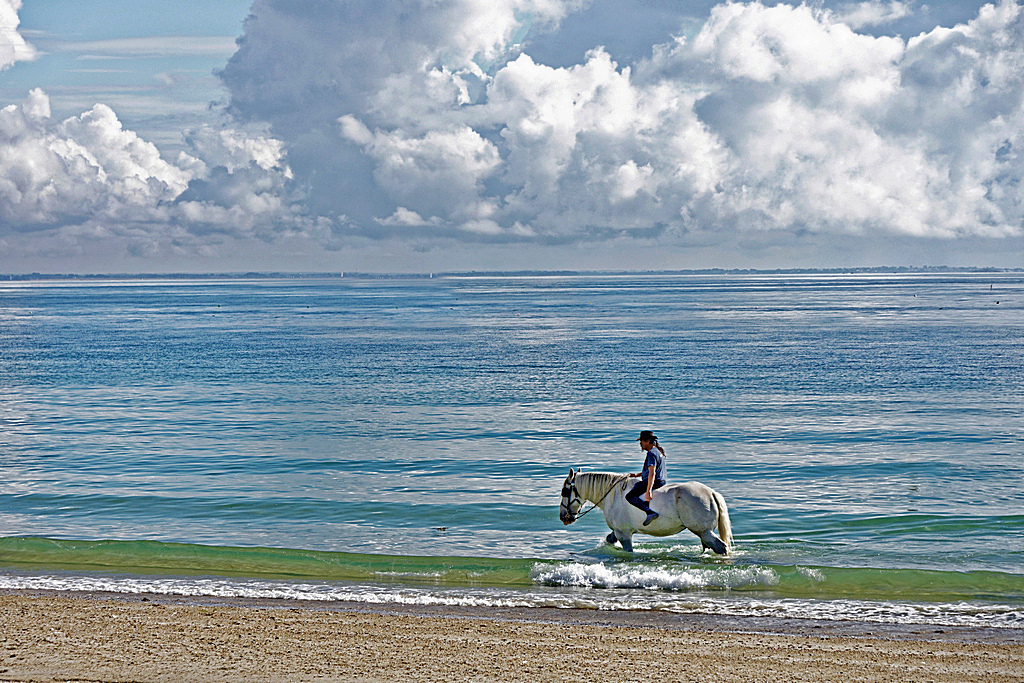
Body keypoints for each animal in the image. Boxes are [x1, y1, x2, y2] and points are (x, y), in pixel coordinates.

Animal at [561, 471, 737, 557]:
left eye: (565, 491)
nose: (564, 516)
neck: (613, 494)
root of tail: (711, 493)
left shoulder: (623, 533)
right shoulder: (617, 531)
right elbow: (609, 539)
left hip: (704, 531)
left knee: (721, 547)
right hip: (704, 533)